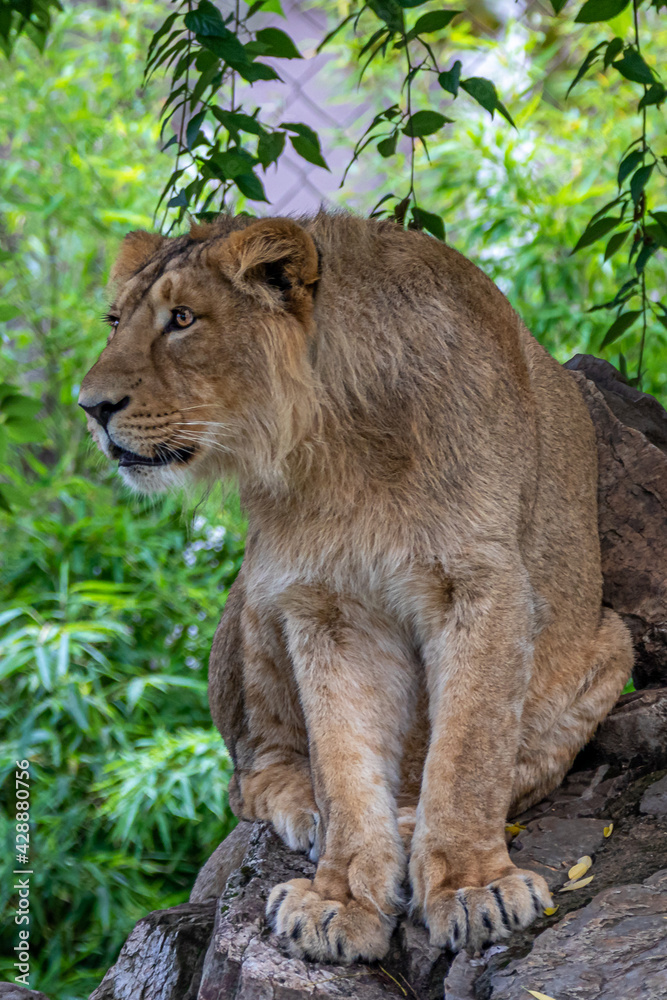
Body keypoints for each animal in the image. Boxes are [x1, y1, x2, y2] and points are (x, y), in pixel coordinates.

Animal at [79, 211, 632, 964]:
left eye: (183, 318)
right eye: (115, 321)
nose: (90, 407)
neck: (337, 445)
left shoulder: (482, 585)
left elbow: (471, 747)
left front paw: (472, 886)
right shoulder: (320, 602)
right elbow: (341, 761)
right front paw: (339, 897)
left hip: (612, 641)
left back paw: (408, 817)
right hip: (256, 585)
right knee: (251, 771)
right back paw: (308, 808)